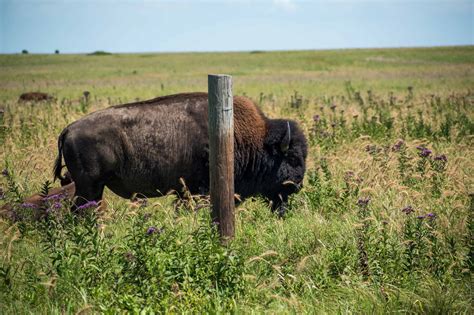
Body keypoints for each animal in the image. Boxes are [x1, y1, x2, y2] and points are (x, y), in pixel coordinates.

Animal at [54, 94, 308, 216]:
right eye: (292, 158)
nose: (297, 185)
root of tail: (69, 129)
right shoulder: (200, 190)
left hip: (93, 189)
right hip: (89, 187)